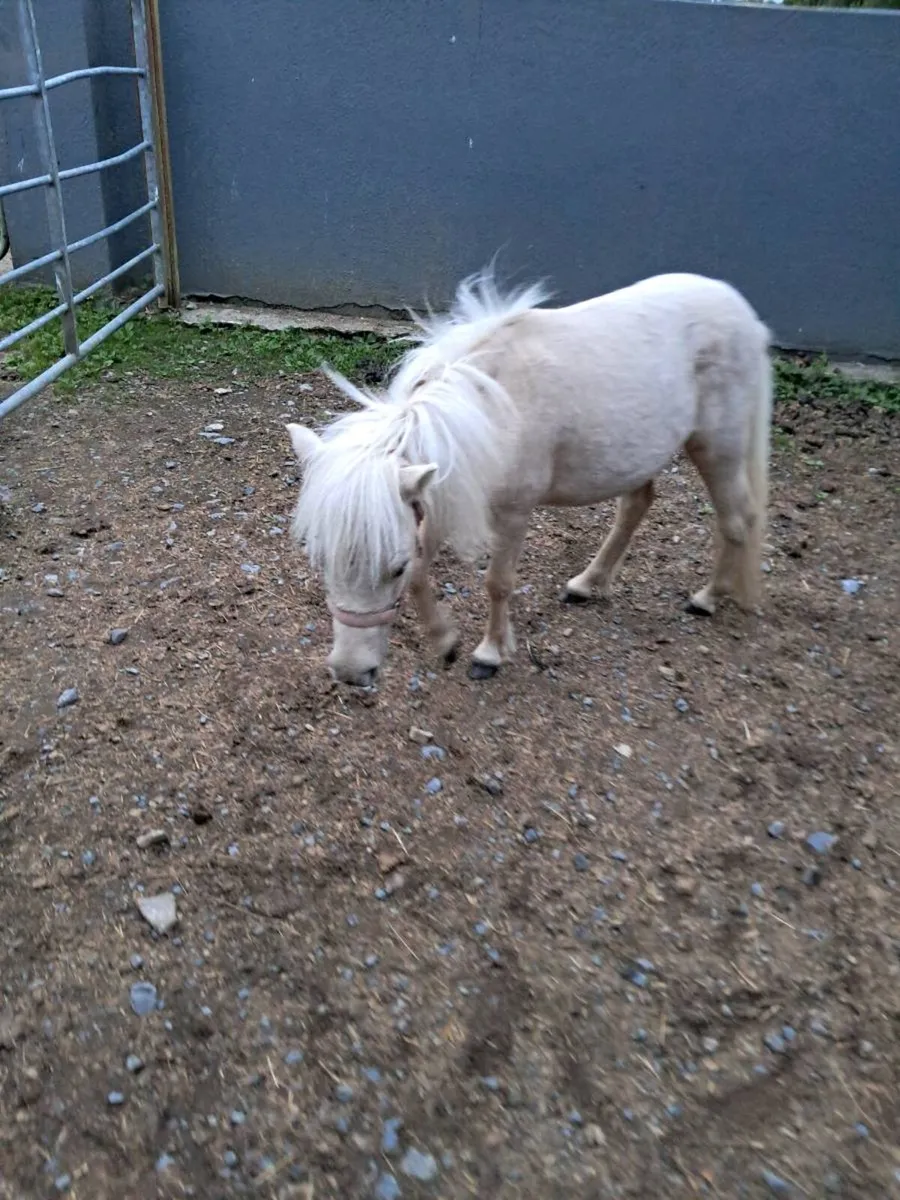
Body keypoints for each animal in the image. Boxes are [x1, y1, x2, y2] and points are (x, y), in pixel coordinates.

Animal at [286, 268, 772, 686]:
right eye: (322, 559)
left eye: (393, 568)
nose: (351, 673)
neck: (485, 411)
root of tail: (743, 312)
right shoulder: (441, 492)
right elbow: (425, 574)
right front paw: (445, 642)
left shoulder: (512, 514)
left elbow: (496, 583)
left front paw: (489, 654)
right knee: (637, 505)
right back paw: (587, 584)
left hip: (717, 448)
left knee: (737, 518)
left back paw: (708, 598)